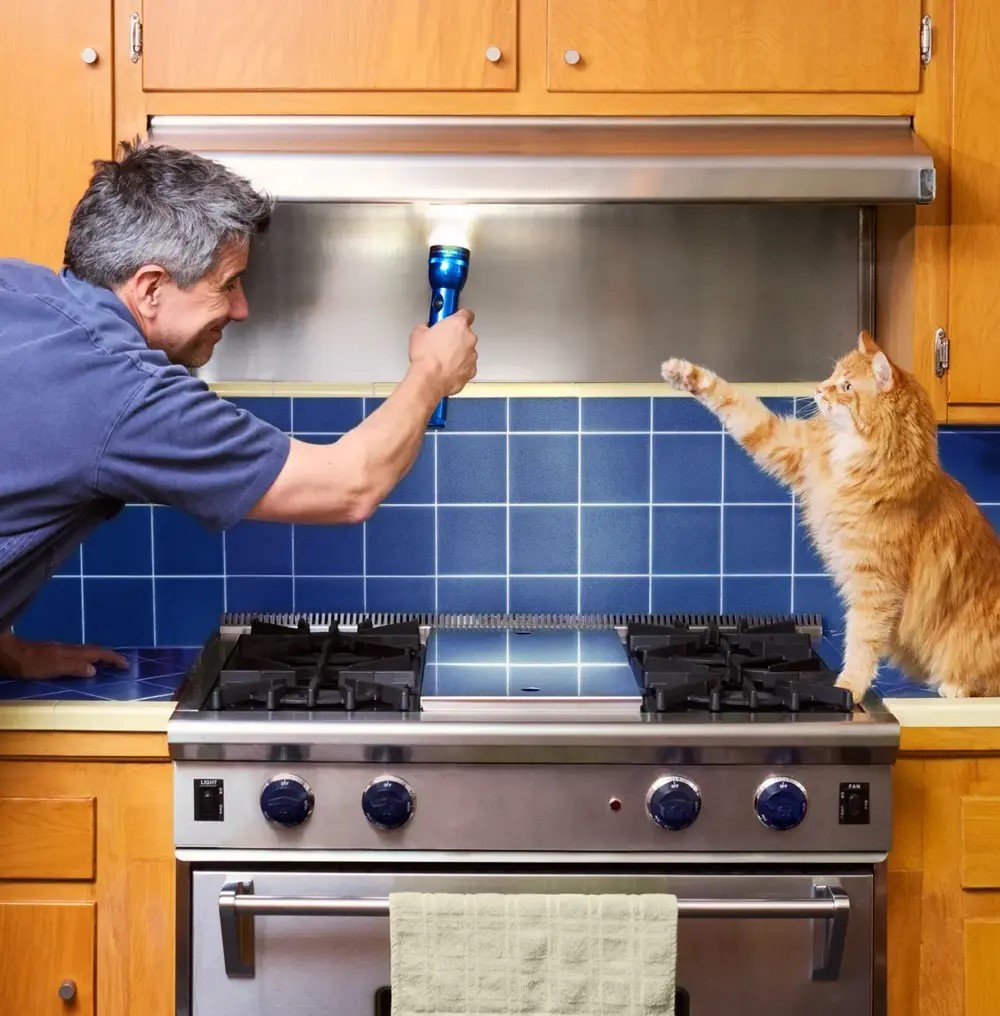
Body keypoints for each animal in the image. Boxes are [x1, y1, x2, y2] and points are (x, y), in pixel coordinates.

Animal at [662, 331, 1000, 699]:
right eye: (833, 375)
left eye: (846, 386)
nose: (818, 389)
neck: (855, 457)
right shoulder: (790, 446)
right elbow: (732, 400)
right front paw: (682, 373)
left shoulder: (876, 585)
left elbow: (861, 642)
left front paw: (848, 688)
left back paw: (954, 687)